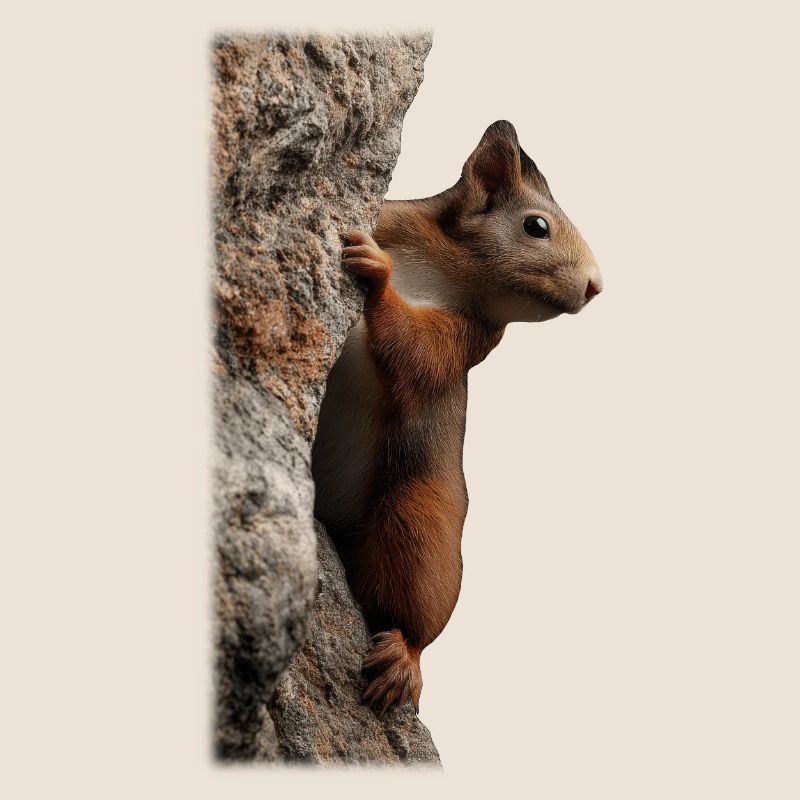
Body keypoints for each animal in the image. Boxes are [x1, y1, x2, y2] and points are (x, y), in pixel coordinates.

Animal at [311, 120, 602, 715]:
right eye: (536, 226)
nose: (596, 285)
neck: (450, 265)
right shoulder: (396, 219)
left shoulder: (469, 338)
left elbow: (417, 352)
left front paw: (378, 276)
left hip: (423, 518)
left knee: (414, 602)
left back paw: (403, 657)